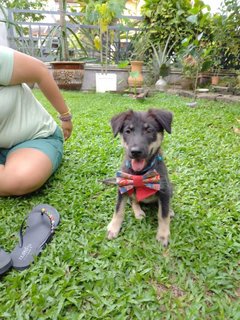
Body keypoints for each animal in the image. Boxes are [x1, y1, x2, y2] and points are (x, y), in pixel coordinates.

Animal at [108, 109, 173, 246]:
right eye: (128, 131)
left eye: (149, 130)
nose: (135, 151)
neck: (141, 173)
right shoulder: (123, 186)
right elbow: (118, 209)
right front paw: (113, 228)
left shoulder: (164, 190)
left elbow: (163, 214)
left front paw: (163, 235)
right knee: (134, 201)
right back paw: (138, 212)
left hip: (171, 188)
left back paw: (170, 210)